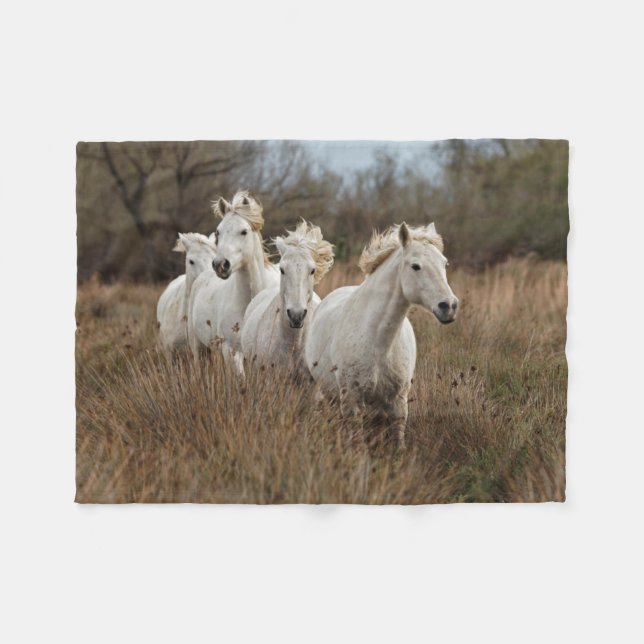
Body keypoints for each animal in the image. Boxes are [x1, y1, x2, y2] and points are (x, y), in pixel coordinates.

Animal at [304, 222, 458, 448]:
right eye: (415, 266)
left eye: (444, 264)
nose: (449, 306)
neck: (378, 342)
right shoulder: (352, 402)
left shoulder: (398, 403)